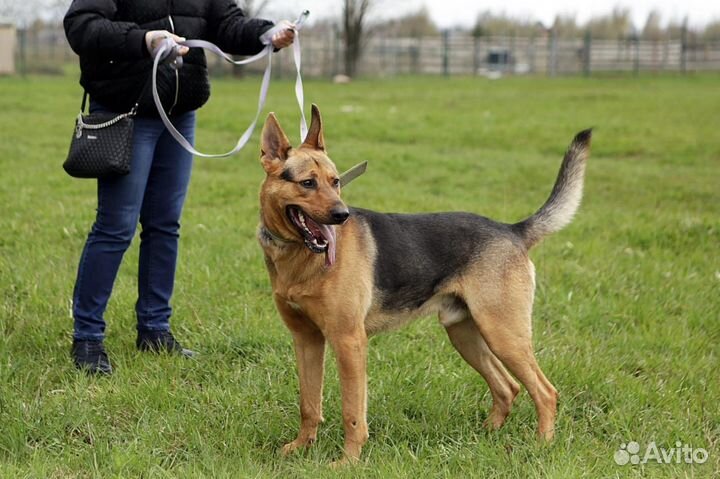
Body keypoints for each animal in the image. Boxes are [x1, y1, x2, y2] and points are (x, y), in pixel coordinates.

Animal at [258, 105, 592, 464]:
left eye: (335, 182)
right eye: (307, 183)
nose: (342, 215)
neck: (298, 256)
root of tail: (512, 230)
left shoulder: (348, 341)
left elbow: (352, 411)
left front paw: (348, 461)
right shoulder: (306, 339)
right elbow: (308, 403)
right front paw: (301, 447)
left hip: (504, 334)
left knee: (545, 391)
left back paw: (542, 445)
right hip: (466, 333)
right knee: (508, 387)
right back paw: (487, 435)